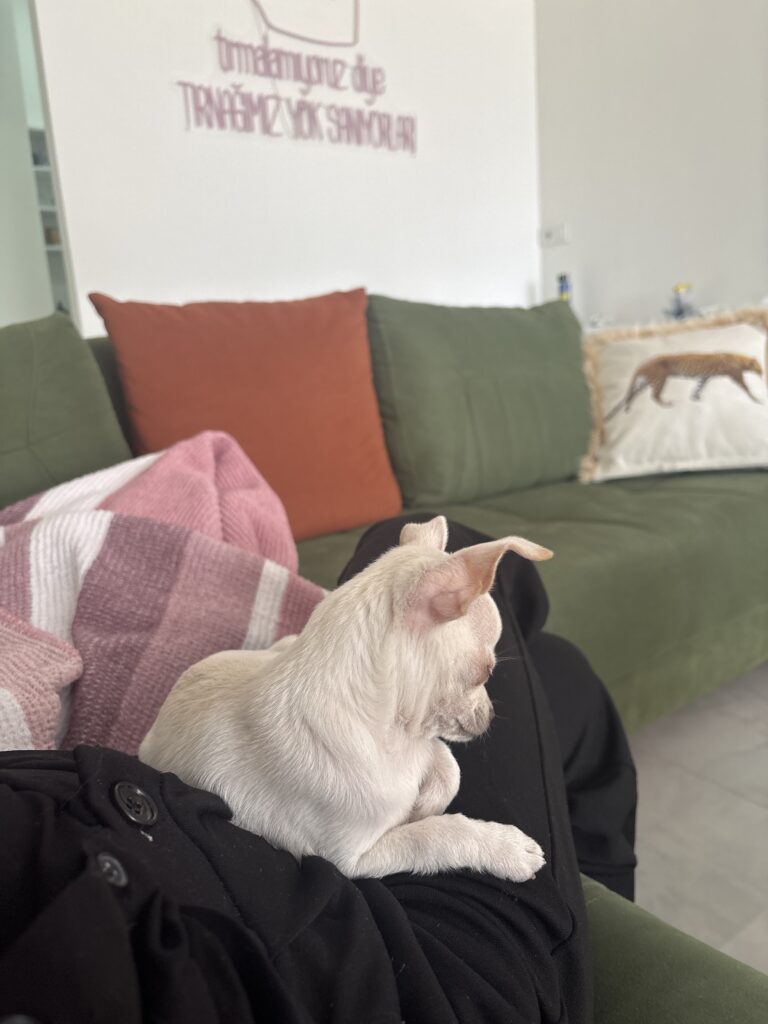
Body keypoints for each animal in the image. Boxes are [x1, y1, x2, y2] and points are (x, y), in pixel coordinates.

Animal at [139, 516, 552, 881]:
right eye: (485, 673)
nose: (490, 713)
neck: (397, 739)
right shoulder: (352, 860)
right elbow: (435, 835)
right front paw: (505, 847)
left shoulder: (420, 743)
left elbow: (448, 766)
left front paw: (425, 802)